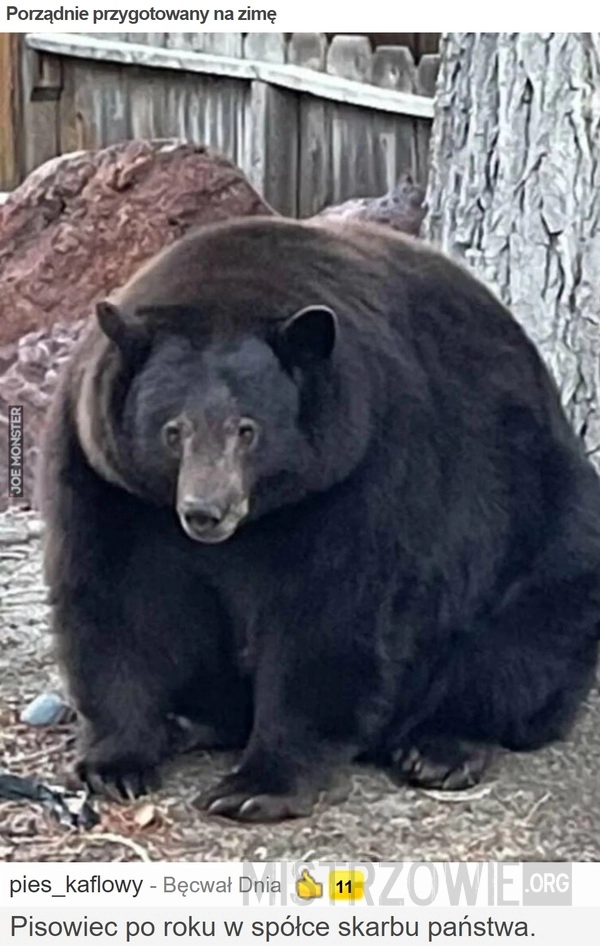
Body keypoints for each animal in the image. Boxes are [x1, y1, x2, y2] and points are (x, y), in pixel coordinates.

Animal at [38, 216, 600, 820]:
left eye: (247, 429)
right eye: (173, 430)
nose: (205, 512)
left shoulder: (364, 465)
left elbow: (330, 614)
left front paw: (255, 786)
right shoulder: (106, 477)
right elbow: (118, 598)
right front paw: (117, 763)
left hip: (542, 529)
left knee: (522, 643)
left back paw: (440, 748)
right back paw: (190, 721)